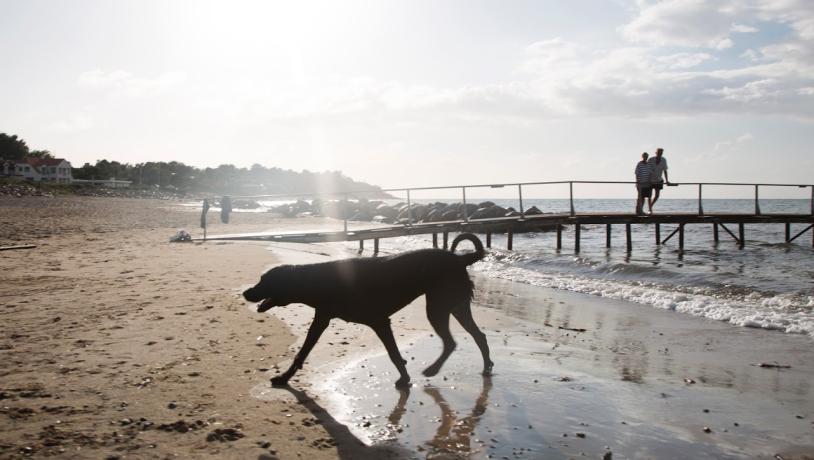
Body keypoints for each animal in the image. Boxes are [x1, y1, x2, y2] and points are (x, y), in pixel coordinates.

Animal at [242, 234, 494, 388]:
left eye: (264, 281)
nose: (246, 292)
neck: (317, 281)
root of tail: (462, 259)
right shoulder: (321, 318)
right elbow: (302, 352)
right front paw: (285, 377)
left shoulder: (379, 321)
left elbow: (394, 354)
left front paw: (404, 378)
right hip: (456, 306)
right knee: (479, 336)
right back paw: (487, 367)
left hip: (437, 306)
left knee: (451, 342)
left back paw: (432, 370)